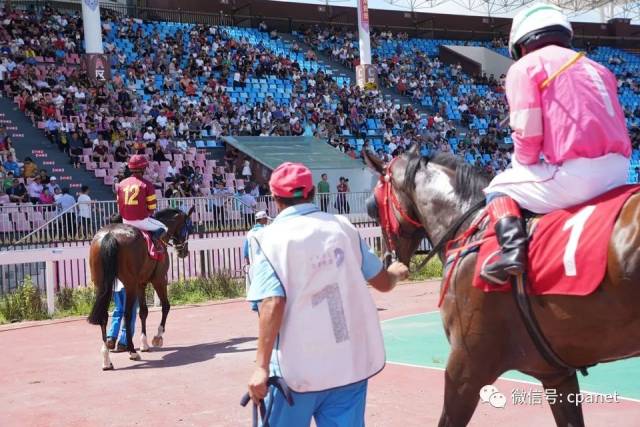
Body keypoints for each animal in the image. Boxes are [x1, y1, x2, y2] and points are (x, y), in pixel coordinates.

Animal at [87, 208, 195, 372]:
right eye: (188, 228)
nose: (184, 252)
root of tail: (110, 234)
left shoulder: (141, 283)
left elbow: (143, 311)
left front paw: (144, 343)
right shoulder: (159, 279)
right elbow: (166, 306)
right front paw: (157, 337)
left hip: (102, 284)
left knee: (104, 316)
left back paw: (107, 359)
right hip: (130, 284)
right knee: (126, 314)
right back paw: (132, 352)